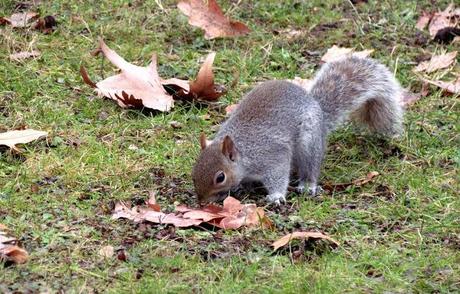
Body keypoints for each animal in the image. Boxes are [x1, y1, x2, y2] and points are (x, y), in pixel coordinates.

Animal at [190, 56, 402, 204]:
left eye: (220, 177)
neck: (244, 151)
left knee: (310, 167)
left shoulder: (273, 156)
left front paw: (276, 196)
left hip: (310, 143)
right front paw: (241, 188)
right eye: (194, 169)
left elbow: (278, 175)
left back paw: (307, 185)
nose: (202, 202)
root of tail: (318, 110)